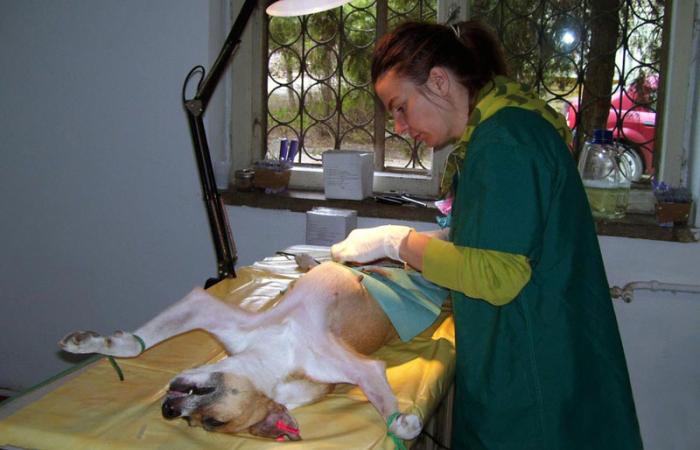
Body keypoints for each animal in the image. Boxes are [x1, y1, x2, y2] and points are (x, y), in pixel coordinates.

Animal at [59, 258, 423, 441]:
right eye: (191, 423)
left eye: (211, 422)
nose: (168, 410)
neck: (278, 355)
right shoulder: (208, 309)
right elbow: (134, 347)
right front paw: (92, 343)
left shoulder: (358, 368)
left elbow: (393, 417)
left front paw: (405, 422)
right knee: (334, 257)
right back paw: (305, 261)